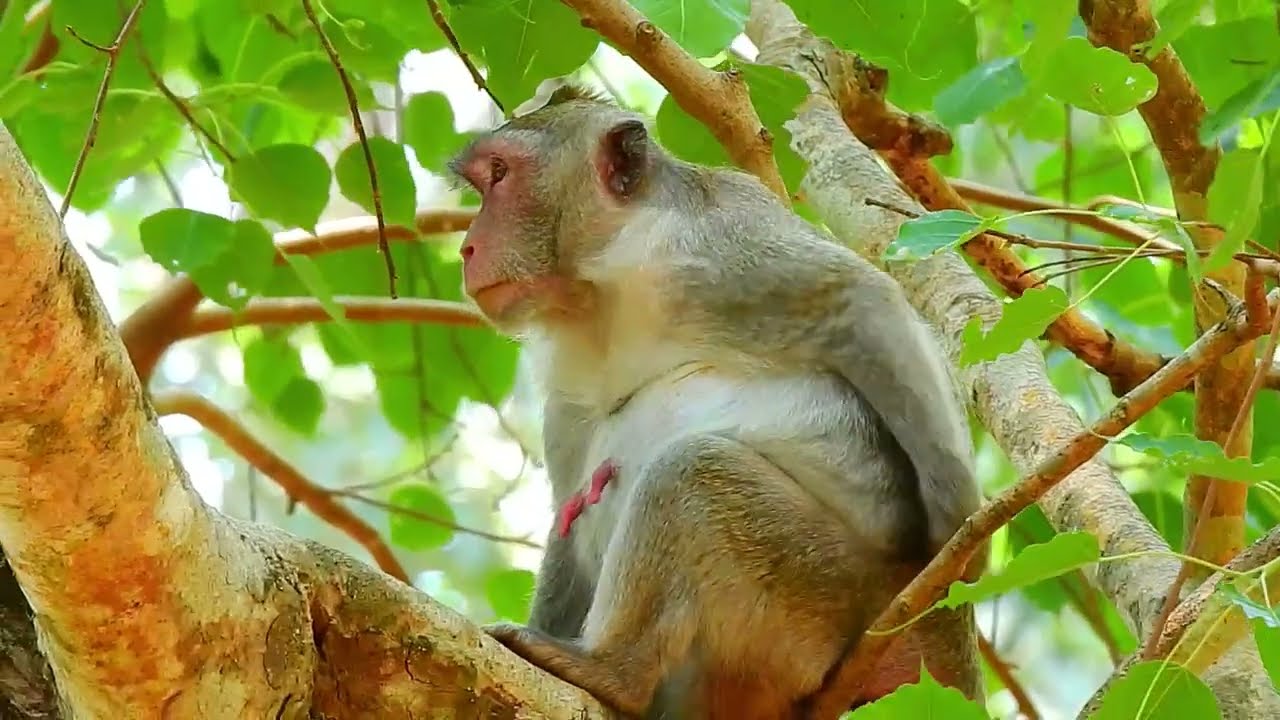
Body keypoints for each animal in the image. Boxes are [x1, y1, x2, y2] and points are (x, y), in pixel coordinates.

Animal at [447, 84, 985, 719]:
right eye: (483, 183)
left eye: (500, 175)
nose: (468, 248)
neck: (604, 289)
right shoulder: (564, 377)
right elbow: (569, 502)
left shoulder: (714, 249)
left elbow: (859, 298)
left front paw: (956, 546)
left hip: (823, 593)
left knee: (692, 472)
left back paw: (610, 670)